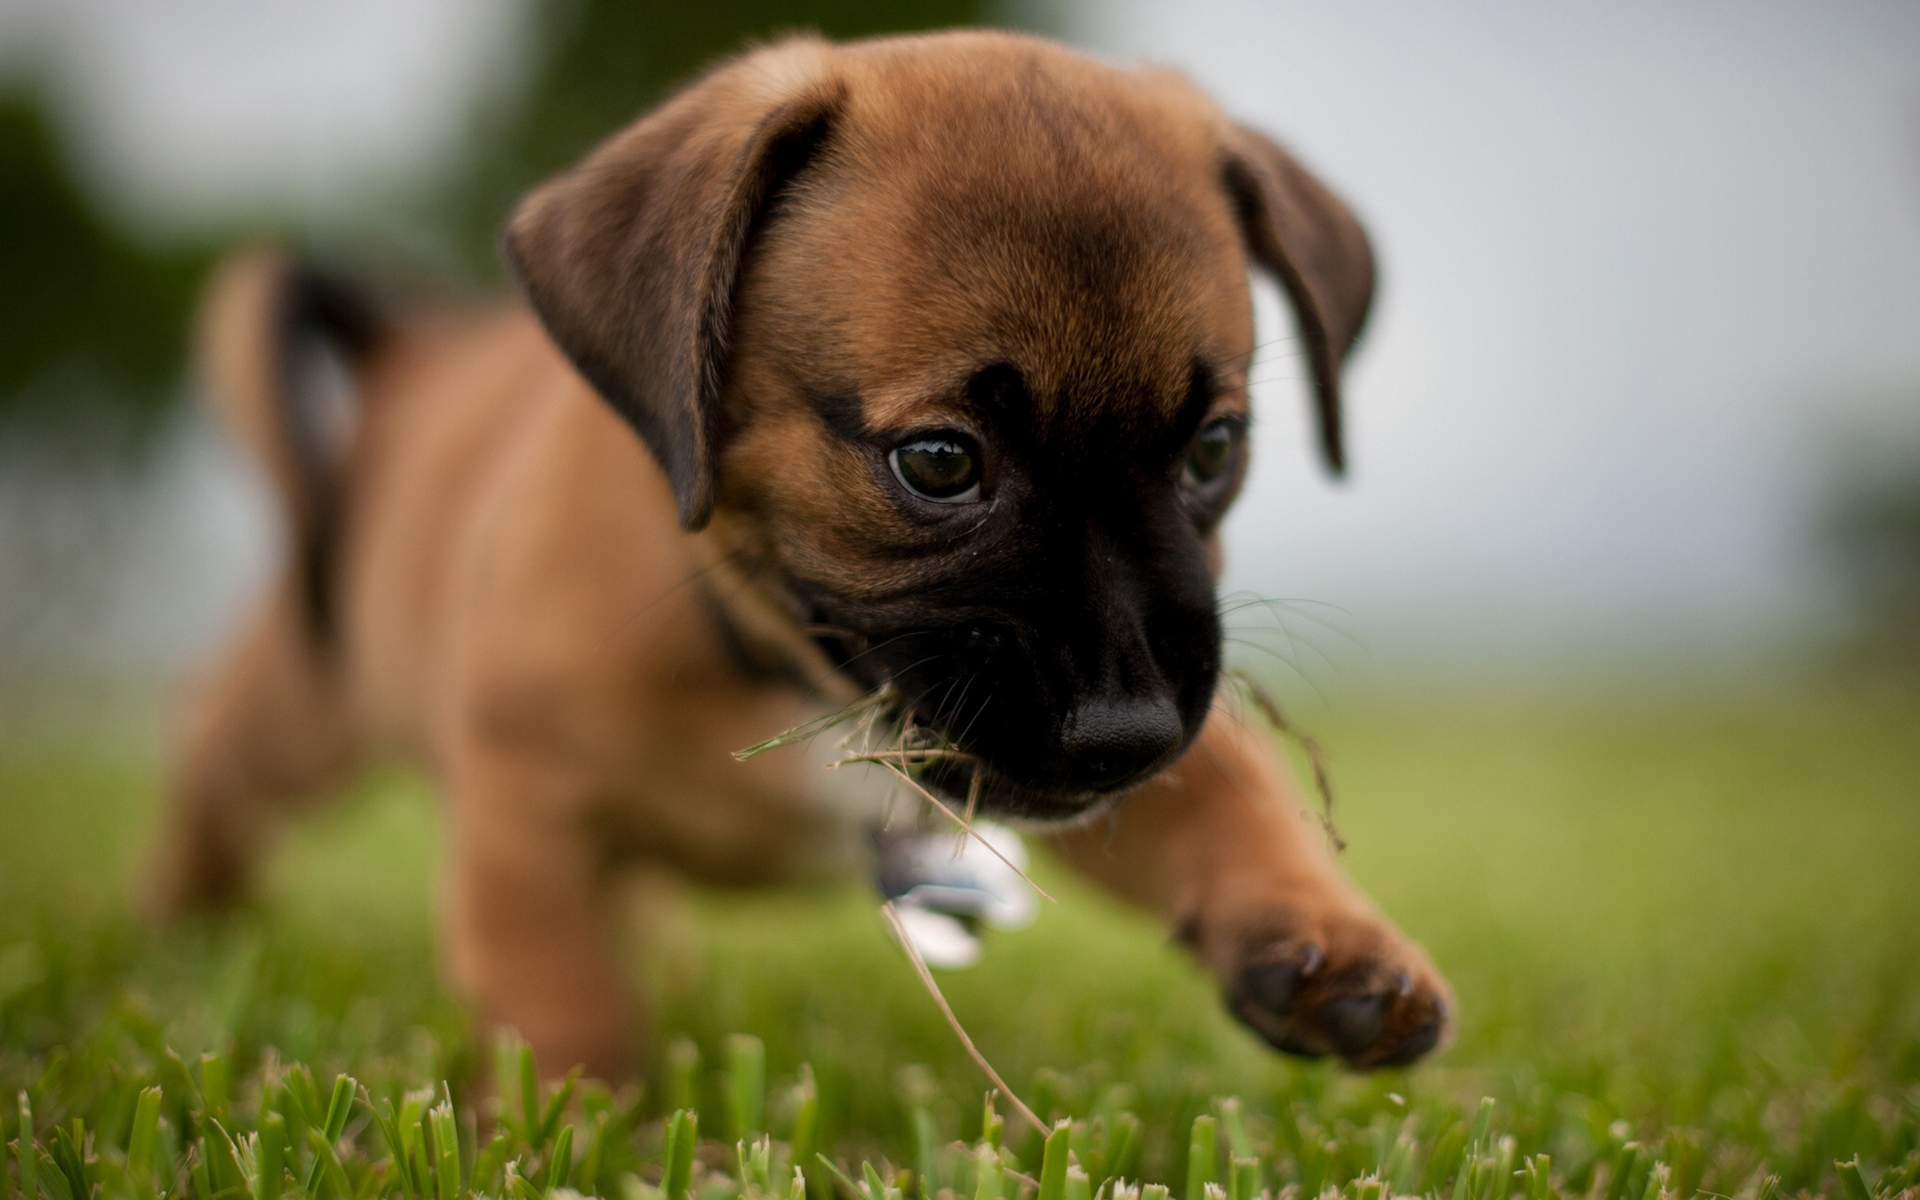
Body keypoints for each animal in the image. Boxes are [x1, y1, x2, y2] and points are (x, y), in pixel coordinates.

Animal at [157, 25, 1451, 1075]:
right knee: (211, 797)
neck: (775, 657)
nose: (1128, 732)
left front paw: (1327, 937)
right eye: (938, 463)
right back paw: (171, 940)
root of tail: (407, 355)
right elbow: (564, 1004)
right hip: (293, 716)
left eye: (1213, 451)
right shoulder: (523, 817)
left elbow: (1235, 797)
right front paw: (579, 1126)